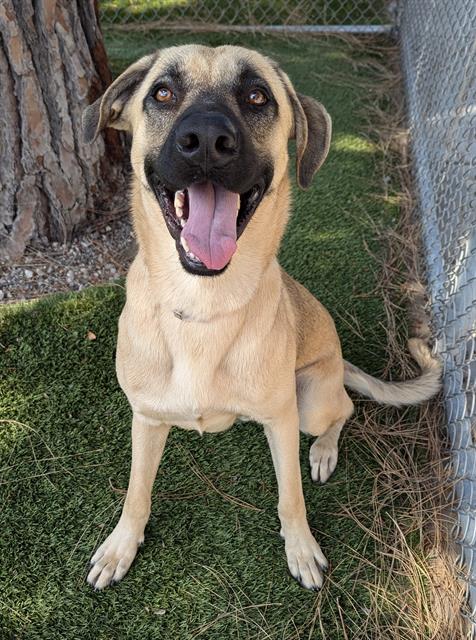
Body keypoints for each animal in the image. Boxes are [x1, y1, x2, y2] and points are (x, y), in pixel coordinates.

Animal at [81, 45, 438, 592]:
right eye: (162, 92)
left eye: (256, 96)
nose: (206, 141)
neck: (204, 305)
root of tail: (339, 362)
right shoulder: (147, 417)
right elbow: (136, 491)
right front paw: (122, 546)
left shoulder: (281, 418)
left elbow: (291, 497)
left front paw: (302, 549)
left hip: (310, 402)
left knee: (344, 411)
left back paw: (323, 452)